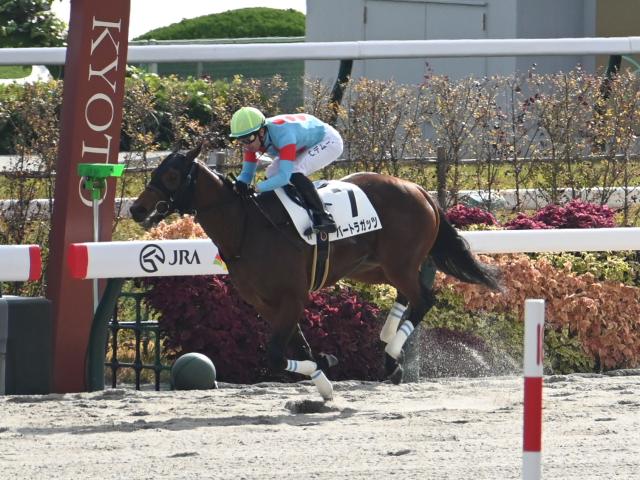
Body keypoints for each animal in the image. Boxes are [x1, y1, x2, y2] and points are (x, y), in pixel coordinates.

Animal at [129, 145, 502, 400]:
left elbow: (277, 356)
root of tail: (418, 189)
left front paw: (324, 368)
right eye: (157, 170)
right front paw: (324, 377)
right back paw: (388, 340)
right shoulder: (265, 303)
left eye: (172, 175)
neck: (247, 228)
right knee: (408, 292)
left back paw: (392, 355)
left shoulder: (293, 296)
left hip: (398, 262)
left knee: (424, 298)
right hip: (372, 266)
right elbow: (298, 347)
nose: (136, 209)